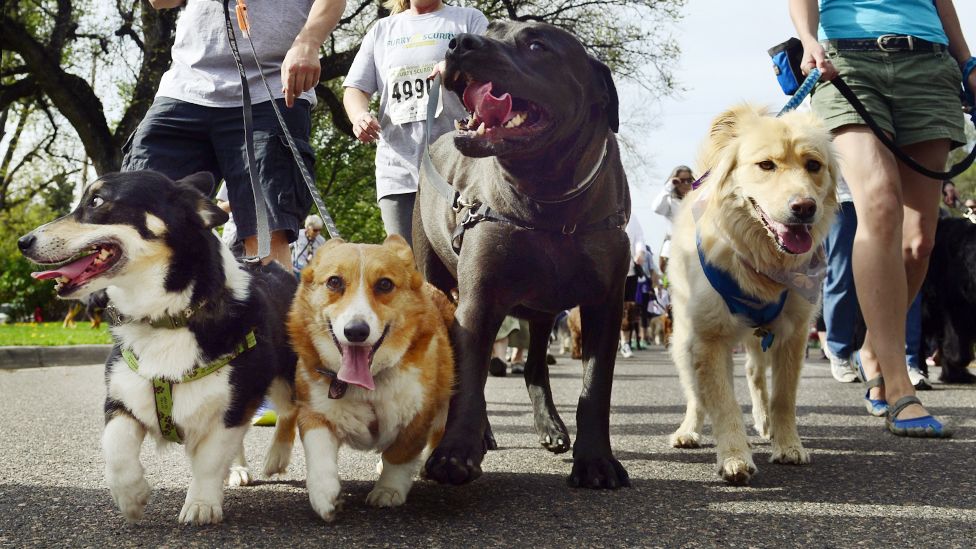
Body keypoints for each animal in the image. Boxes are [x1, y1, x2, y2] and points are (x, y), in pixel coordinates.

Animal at [18, 170, 298, 524]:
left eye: (96, 201)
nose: (22, 242)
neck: (167, 317)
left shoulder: (233, 406)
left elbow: (209, 461)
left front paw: (201, 504)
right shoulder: (121, 398)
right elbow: (116, 449)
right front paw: (131, 497)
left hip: (287, 378)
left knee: (290, 411)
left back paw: (276, 457)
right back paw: (237, 469)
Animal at [288, 235, 456, 524]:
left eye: (385, 284)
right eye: (334, 281)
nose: (356, 331)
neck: (368, 383)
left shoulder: (418, 415)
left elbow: (399, 455)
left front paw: (388, 490)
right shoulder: (313, 412)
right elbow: (318, 451)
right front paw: (325, 496)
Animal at [414, 20, 628, 488]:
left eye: (536, 45)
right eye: (492, 30)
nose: (458, 43)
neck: (547, 202)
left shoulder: (605, 304)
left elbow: (595, 388)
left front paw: (596, 460)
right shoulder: (479, 300)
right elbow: (468, 378)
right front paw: (454, 453)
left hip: (543, 311)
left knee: (534, 368)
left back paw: (551, 427)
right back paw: (482, 434)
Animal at [672, 106, 840, 484]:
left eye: (813, 165)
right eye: (766, 165)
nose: (805, 207)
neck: (763, 262)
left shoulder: (793, 335)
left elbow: (783, 398)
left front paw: (788, 444)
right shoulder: (710, 337)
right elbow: (722, 402)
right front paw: (734, 456)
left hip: (762, 335)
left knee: (754, 372)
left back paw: (765, 424)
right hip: (685, 336)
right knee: (694, 391)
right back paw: (689, 429)